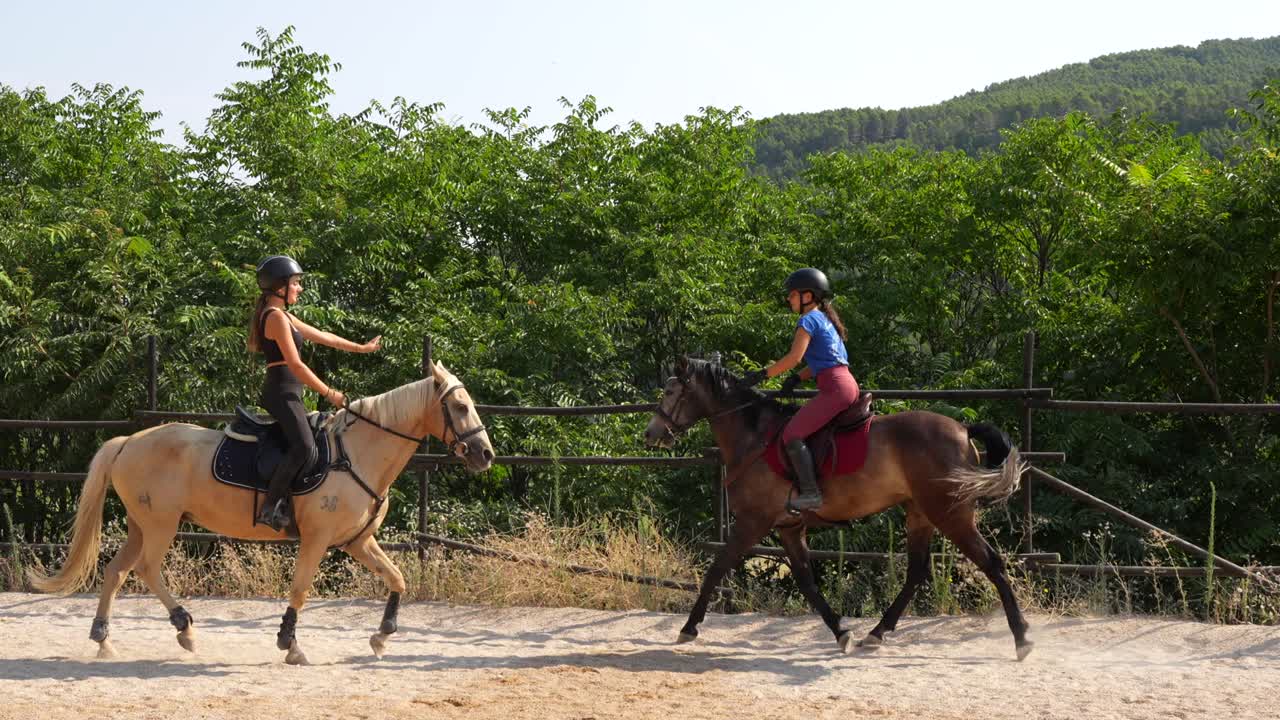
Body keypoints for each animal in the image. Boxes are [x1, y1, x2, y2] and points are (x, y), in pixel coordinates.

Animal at [28, 360, 494, 664]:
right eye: (459, 407)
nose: (485, 454)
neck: (357, 454)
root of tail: (129, 441)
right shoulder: (317, 540)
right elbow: (301, 591)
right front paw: (291, 645)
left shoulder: (357, 542)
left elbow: (396, 579)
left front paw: (380, 638)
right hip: (160, 525)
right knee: (145, 570)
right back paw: (185, 628)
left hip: (141, 526)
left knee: (116, 572)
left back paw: (104, 639)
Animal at [643, 357, 1033, 660]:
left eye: (670, 393)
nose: (651, 433)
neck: (754, 437)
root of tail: (963, 429)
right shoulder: (788, 527)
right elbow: (806, 582)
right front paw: (841, 632)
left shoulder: (753, 522)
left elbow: (716, 569)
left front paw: (688, 628)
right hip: (920, 513)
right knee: (916, 571)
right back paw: (876, 633)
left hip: (950, 513)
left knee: (991, 563)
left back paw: (1022, 638)